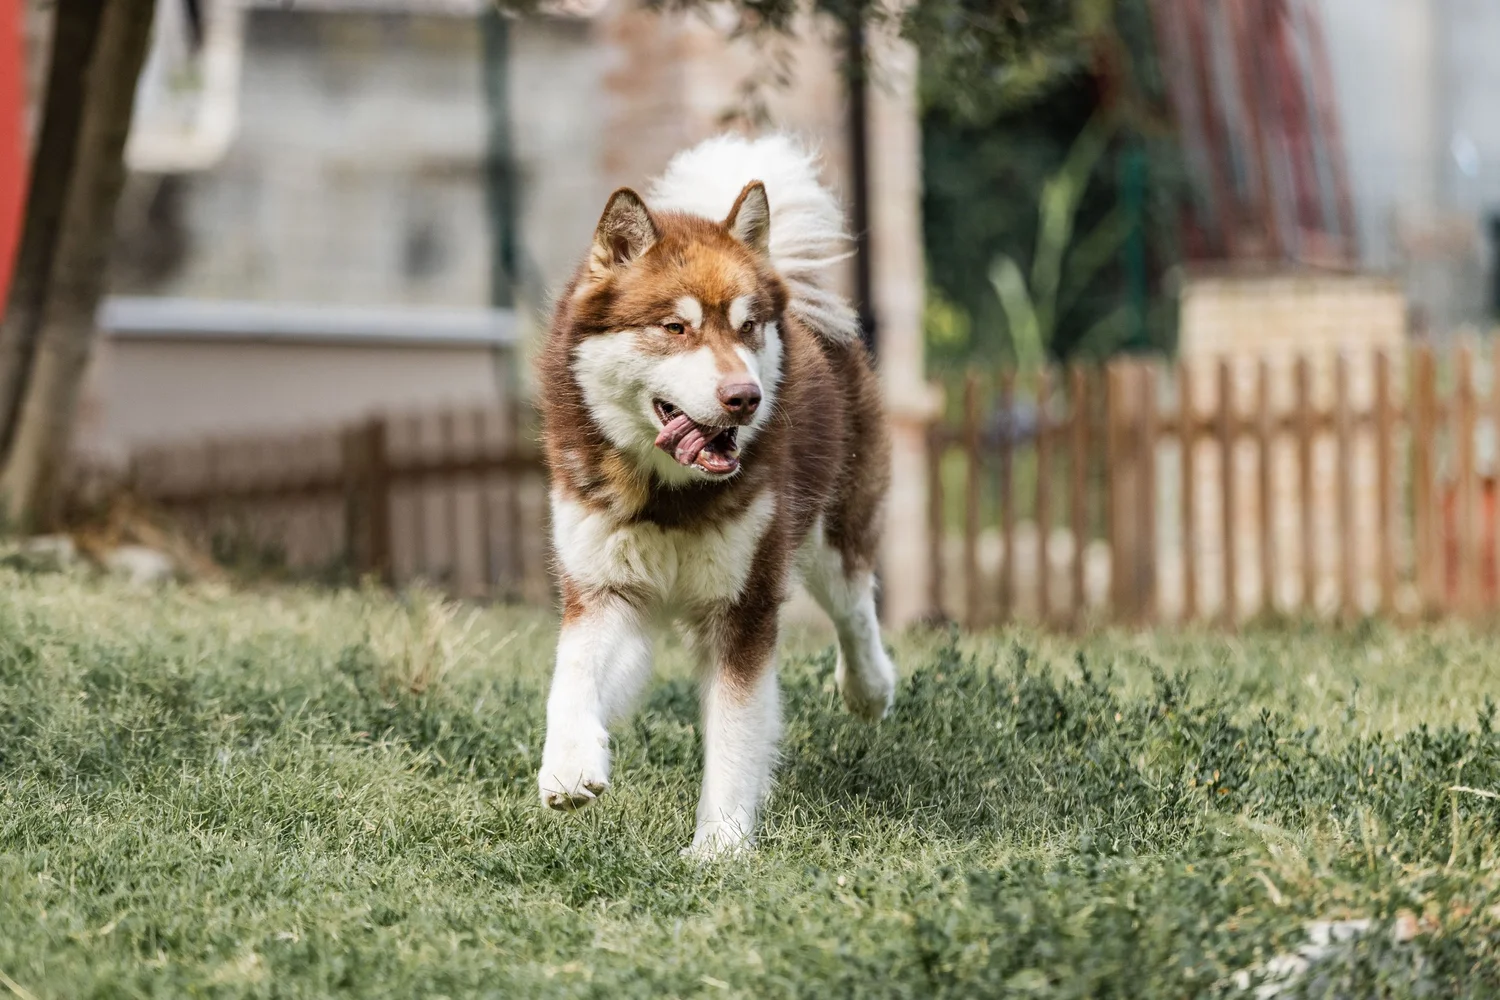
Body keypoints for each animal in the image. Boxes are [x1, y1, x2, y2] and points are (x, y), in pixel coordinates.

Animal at [535, 134, 895, 857]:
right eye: (676, 328)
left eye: (747, 327)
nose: (745, 397)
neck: (669, 496)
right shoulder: (606, 590)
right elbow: (571, 676)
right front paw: (567, 765)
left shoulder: (744, 606)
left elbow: (733, 736)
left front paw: (719, 848)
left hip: (827, 531)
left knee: (854, 603)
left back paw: (869, 687)